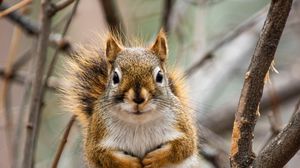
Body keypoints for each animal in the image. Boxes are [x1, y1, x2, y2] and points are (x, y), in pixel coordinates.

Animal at [59, 30, 200, 168]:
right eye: (115, 77)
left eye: (160, 76)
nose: (138, 99)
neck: (139, 122)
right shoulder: (98, 135)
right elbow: (101, 155)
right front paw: (130, 163)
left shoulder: (180, 125)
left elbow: (184, 147)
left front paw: (155, 158)